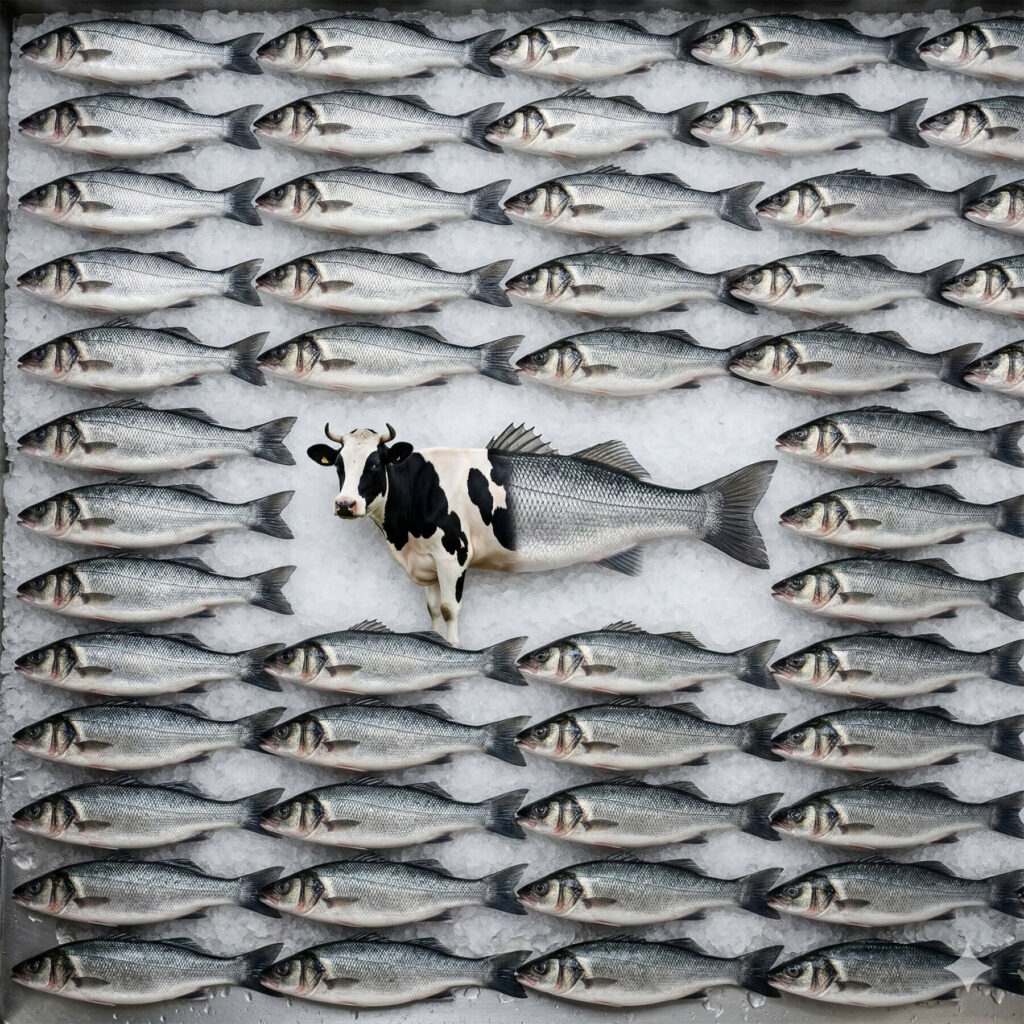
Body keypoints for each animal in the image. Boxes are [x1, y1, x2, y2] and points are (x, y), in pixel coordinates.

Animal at [307, 423, 775, 644]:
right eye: (339, 464)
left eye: (375, 463)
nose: (345, 505)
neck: (416, 491)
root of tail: (708, 505)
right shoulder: (424, 567)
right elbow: (433, 613)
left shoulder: (452, 558)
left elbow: (450, 611)